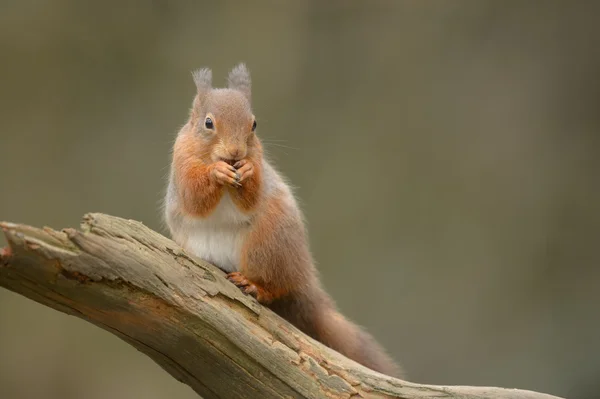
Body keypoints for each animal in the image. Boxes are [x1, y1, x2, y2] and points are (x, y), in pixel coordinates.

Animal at [162, 64, 400, 376]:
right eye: (208, 123)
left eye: (254, 124)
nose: (236, 153)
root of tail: (303, 276)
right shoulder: (181, 161)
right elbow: (193, 196)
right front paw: (216, 172)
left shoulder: (258, 162)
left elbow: (251, 195)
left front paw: (247, 170)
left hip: (267, 243)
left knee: (274, 288)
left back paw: (255, 286)